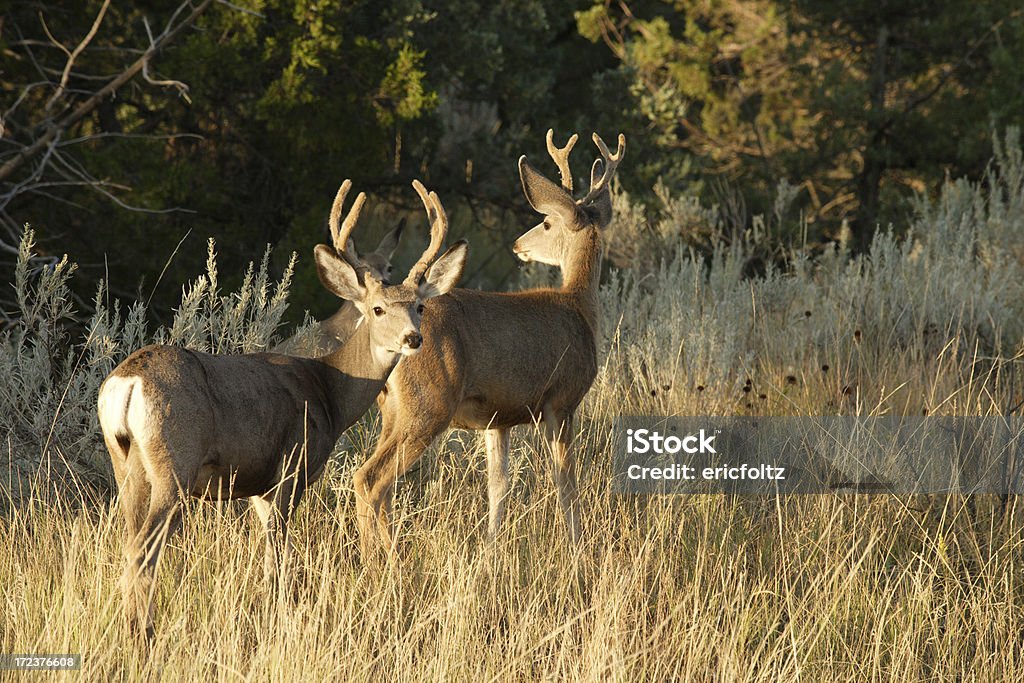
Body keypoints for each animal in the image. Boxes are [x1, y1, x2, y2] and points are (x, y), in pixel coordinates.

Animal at [97, 179, 466, 638]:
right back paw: (142, 633)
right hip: (175, 462)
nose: (413, 338)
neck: (330, 389)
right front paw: (278, 616)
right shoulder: (292, 466)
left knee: (129, 542)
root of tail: (127, 382)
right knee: (144, 549)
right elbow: (279, 557)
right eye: (378, 308)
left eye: (419, 306)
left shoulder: (259, 485)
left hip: (125, 462)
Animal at [352, 129, 622, 557]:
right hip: (428, 405)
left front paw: (491, 549)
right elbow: (566, 483)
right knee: (370, 478)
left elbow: (499, 486)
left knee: (380, 483)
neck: (578, 306)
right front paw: (578, 549)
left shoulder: (499, 418)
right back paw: (381, 561)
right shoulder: (561, 400)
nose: (517, 245)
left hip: (391, 408)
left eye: (545, 223)